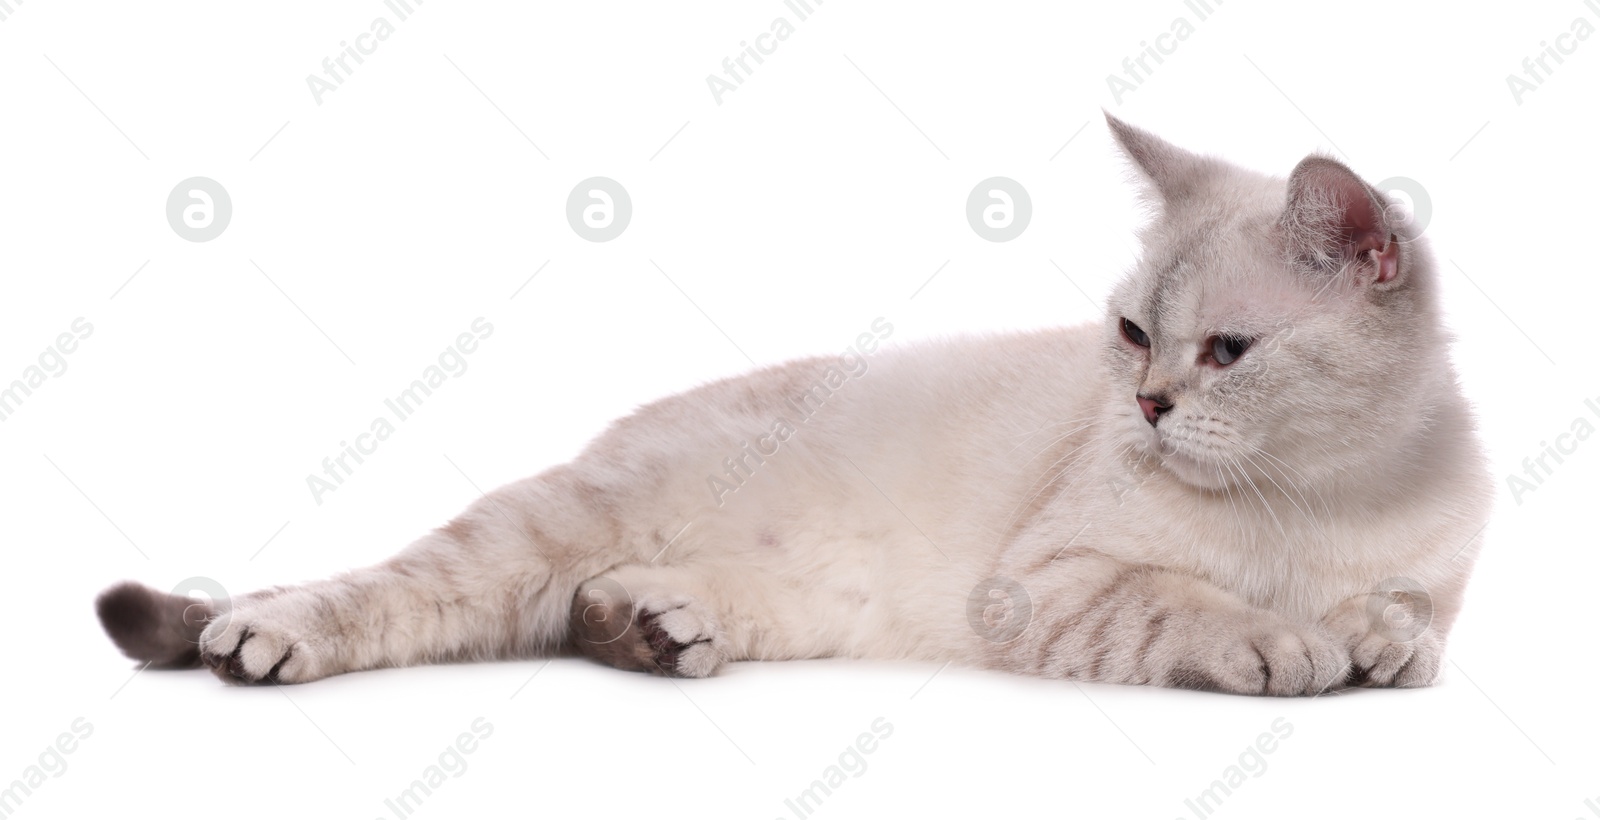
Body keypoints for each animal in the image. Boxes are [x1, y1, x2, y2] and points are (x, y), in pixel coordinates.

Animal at [93, 113, 1491, 691]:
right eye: (1136, 335)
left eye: (1228, 351)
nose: (1146, 406)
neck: (1315, 499)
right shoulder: (1047, 586)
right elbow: (1189, 604)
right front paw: (1282, 643)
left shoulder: (1432, 584)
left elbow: (1405, 627)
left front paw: (1362, 639)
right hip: (541, 525)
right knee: (393, 590)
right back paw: (259, 640)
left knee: (579, 611)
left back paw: (650, 630)